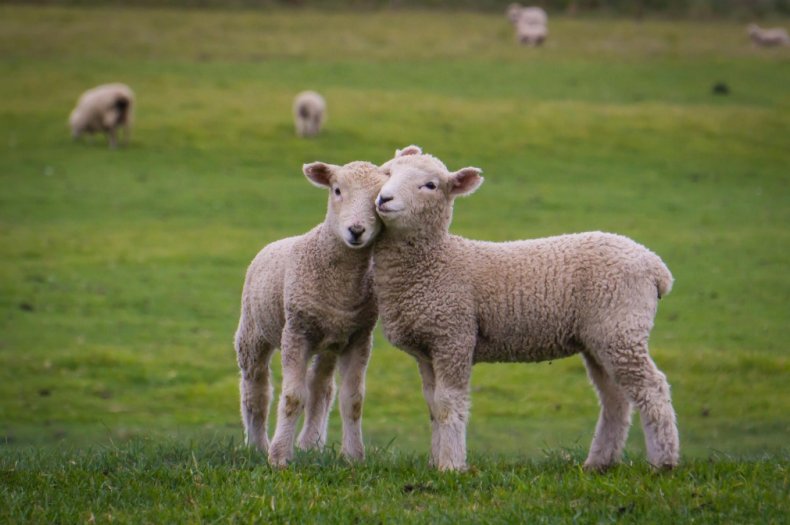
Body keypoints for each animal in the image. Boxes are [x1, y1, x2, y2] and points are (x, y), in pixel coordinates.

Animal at [235, 160, 390, 466]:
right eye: (337, 190)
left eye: (379, 198)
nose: (356, 230)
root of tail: (276, 242)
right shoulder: (296, 331)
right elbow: (293, 397)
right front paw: (279, 457)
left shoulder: (359, 337)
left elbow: (353, 400)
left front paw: (354, 456)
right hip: (253, 332)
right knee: (256, 388)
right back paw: (257, 445)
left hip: (329, 343)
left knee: (321, 388)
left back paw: (310, 445)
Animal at [372, 144, 680, 470]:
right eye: (387, 173)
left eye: (430, 185)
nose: (384, 199)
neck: (437, 261)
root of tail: (655, 265)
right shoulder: (427, 349)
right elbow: (432, 405)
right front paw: (436, 462)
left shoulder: (453, 337)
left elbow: (448, 403)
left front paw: (452, 466)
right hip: (601, 337)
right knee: (615, 398)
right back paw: (598, 463)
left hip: (620, 326)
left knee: (652, 388)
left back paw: (663, 462)